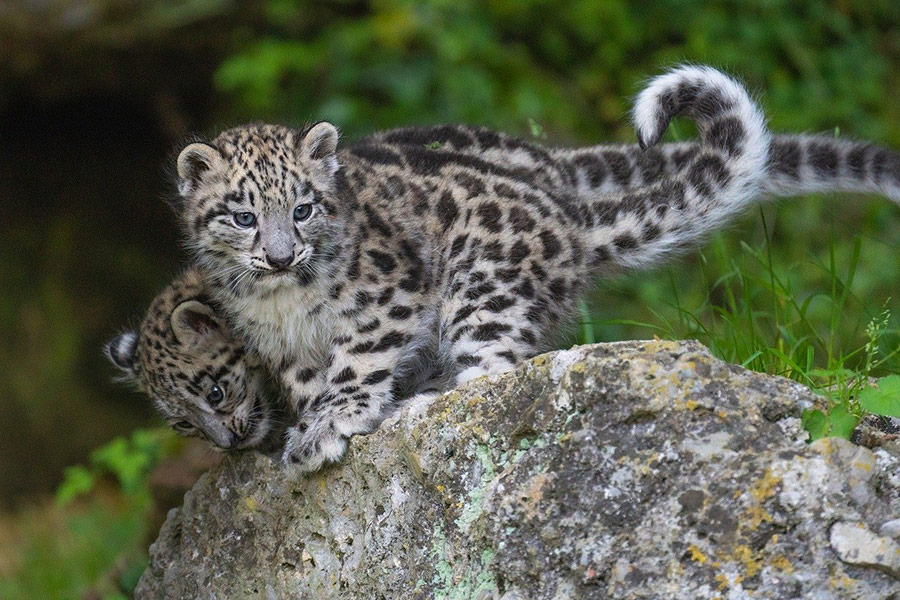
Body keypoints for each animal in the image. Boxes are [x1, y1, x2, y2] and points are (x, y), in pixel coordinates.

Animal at [111, 65, 900, 462]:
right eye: (243, 216)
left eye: (302, 208)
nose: (280, 255)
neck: (274, 308)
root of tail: (565, 212)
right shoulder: (286, 347)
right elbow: (309, 381)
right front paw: (306, 426)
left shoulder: (388, 295)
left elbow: (359, 358)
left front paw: (335, 421)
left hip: (483, 289)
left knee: (495, 376)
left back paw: (427, 399)